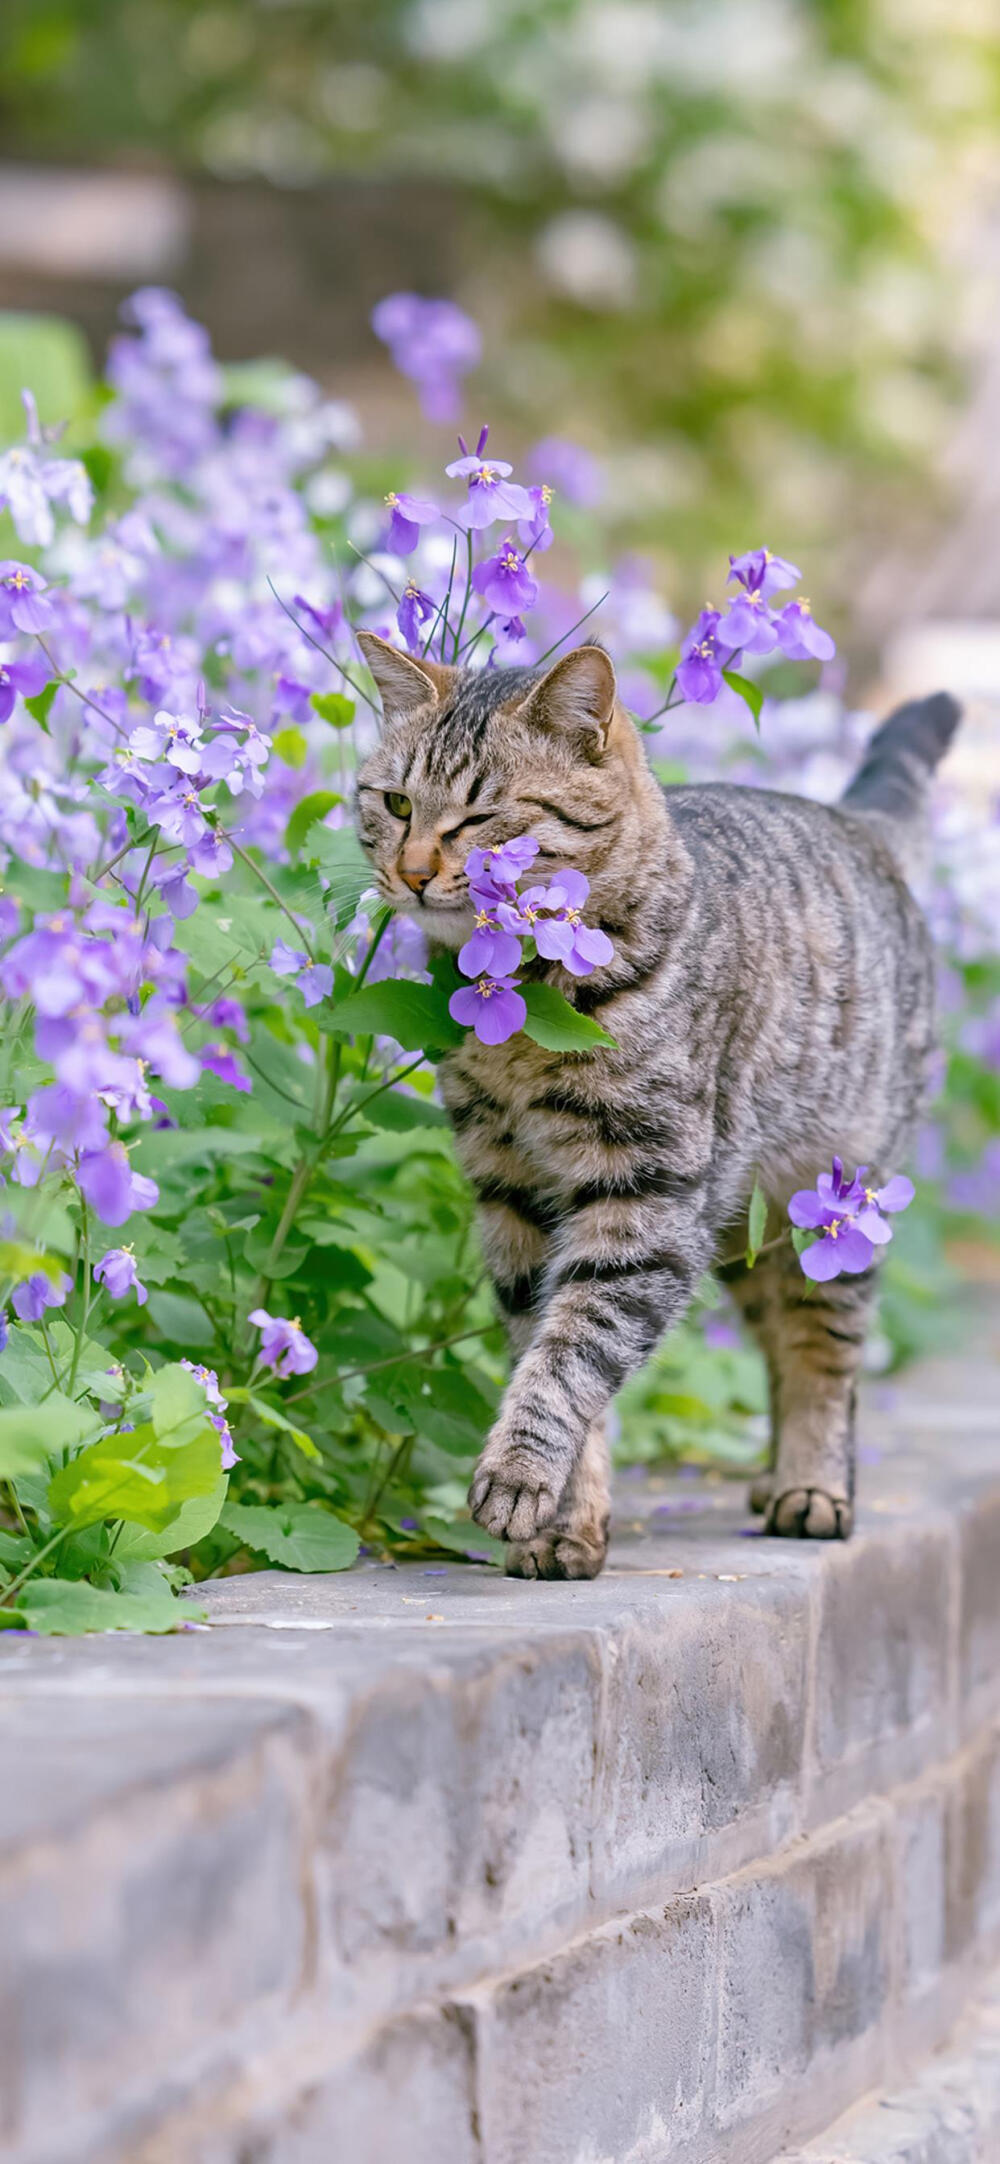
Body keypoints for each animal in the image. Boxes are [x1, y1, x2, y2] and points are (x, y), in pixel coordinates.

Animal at [354, 631, 956, 1584]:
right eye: (396, 802)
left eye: (481, 820)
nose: (410, 874)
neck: (529, 1010)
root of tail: (858, 822)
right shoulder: (513, 1194)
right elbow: (550, 1348)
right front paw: (566, 1523)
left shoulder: (644, 1200)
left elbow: (574, 1353)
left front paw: (521, 1474)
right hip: (744, 1228)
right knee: (779, 1339)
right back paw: (774, 1477)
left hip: (832, 1199)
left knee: (824, 1349)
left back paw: (814, 1487)